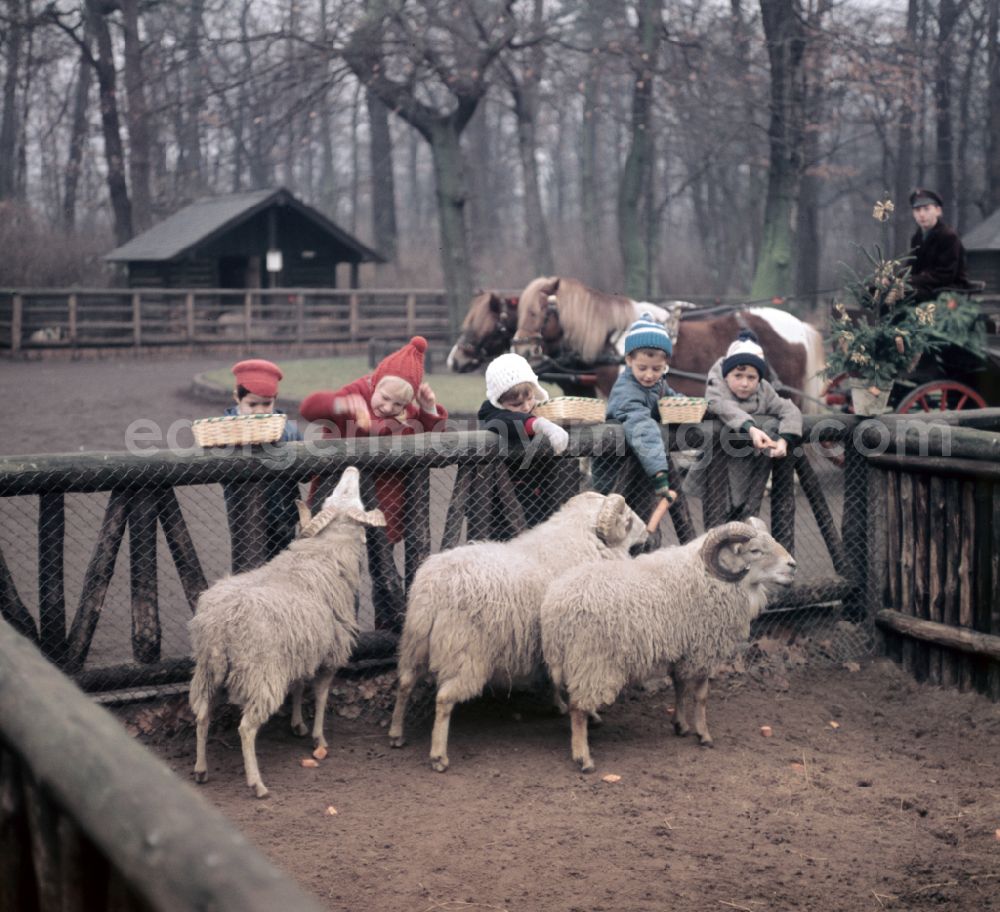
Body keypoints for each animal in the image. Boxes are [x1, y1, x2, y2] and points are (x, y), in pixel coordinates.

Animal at [189, 466, 384, 796]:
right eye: (352, 499)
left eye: (335, 495)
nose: (352, 469)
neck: (325, 554)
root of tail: (220, 625)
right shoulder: (329, 652)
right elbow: (320, 694)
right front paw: (318, 736)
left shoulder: (301, 649)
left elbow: (299, 685)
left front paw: (297, 724)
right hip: (261, 675)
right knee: (246, 728)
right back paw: (256, 783)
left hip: (208, 672)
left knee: (202, 716)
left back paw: (201, 768)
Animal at [382, 492, 648, 768]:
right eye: (628, 520)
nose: (648, 530)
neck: (581, 539)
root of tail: (434, 590)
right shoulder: (576, 644)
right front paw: (590, 714)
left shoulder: (551, 644)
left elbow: (553, 679)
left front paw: (559, 705)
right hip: (465, 654)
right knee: (444, 699)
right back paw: (438, 755)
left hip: (415, 642)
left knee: (405, 683)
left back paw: (396, 734)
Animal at [540, 520, 796, 768]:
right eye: (755, 550)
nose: (792, 566)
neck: (709, 576)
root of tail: (555, 607)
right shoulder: (703, 649)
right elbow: (701, 695)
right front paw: (703, 734)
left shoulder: (682, 649)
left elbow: (680, 686)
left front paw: (680, 725)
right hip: (591, 659)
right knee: (577, 708)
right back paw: (583, 757)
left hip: (574, 660)